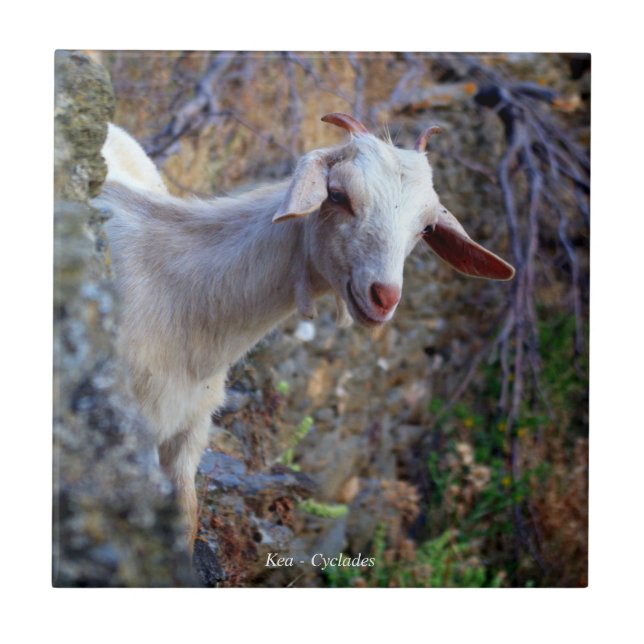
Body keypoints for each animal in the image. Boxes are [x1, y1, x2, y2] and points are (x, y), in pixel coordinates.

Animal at [93, 113, 515, 550]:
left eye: (427, 227)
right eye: (339, 196)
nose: (383, 297)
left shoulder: (193, 426)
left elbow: (187, 519)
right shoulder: (133, 430)